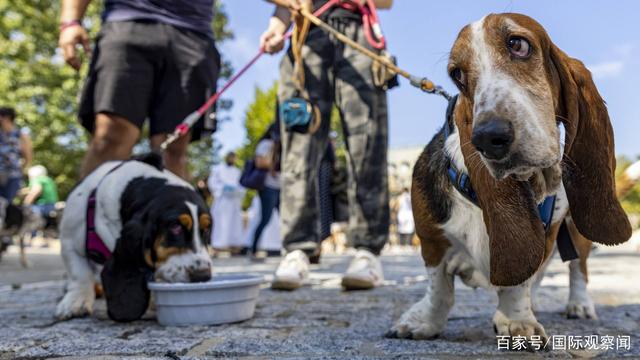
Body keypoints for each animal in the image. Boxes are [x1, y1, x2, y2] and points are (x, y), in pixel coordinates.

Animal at [55, 153, 212, 322]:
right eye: (175, 226)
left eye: (206, 229)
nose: (204, 275)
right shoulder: (69, 241)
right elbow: (79, 275)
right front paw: (75, 302)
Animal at [388, 14, 632, 344]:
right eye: (457, 75)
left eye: (518, 45)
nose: (488, 138)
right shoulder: (431, 240)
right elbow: (439, 289)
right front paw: (423, 322)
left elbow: (519, 284)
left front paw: (518, 322)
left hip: (576, 228)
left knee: (577, 268)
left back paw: (578, 304)